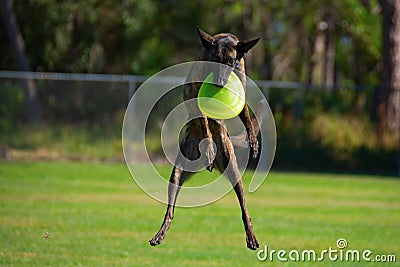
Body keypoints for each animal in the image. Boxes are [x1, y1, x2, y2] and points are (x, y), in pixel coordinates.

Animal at [149, 28, 260, 250]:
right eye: (215, 59)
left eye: (230, 61)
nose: (219, 83)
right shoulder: (197, 98)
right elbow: (207, 126)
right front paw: (208, 146)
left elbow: (247, 118)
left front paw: (253, 140)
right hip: (176, 174)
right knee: (170, 210)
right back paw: (160, 234)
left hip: (234, 171)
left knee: (244, 208)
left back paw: (251, 237)